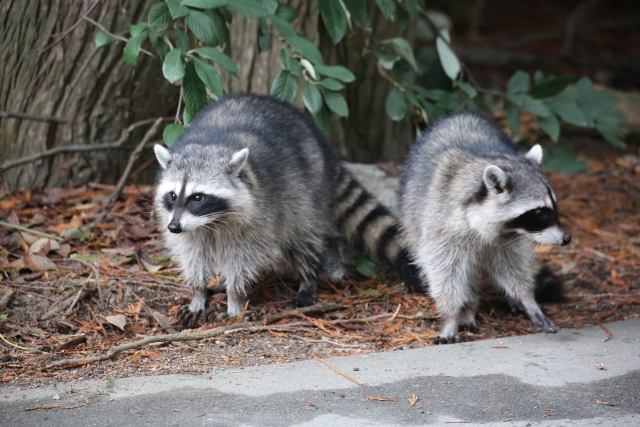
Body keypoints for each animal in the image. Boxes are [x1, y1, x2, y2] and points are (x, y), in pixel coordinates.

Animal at [152, 93, 418, 328]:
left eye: (198, 197)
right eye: (173, 195)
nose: (173, 227)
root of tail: (324, 149)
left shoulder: (257, 216)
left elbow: (242, 259)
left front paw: (235, 298)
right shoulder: (187, 226)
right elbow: (193, 255)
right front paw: (198, 293)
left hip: (306, 192)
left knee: (303, 239)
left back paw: (308, 279)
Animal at [400, 111, 568, 344]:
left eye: (553, 207)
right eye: (539, 212)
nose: (566, 239)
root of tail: (459, 114)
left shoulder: (508, 240)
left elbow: (511, 266)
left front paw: (527, 298)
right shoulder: (442, 224)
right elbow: (444, 271)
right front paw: (451, 316)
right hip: (413, 214)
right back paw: (467, 309)